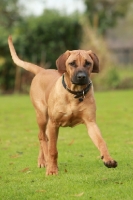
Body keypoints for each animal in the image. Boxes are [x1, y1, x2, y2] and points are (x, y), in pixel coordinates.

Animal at [7, 36, 117, 175]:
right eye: (72, 63)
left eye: (88, 63)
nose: (82, 77)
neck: (74, 94)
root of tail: (42, 70)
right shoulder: (53, 123)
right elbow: (53, 150)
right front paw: (52, 170)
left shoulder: (91, 122)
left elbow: (101, 142)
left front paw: (108, 159)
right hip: (42, 116)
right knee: (42, 137)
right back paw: (46, 161)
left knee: (45, 138)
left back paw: (42, 160)